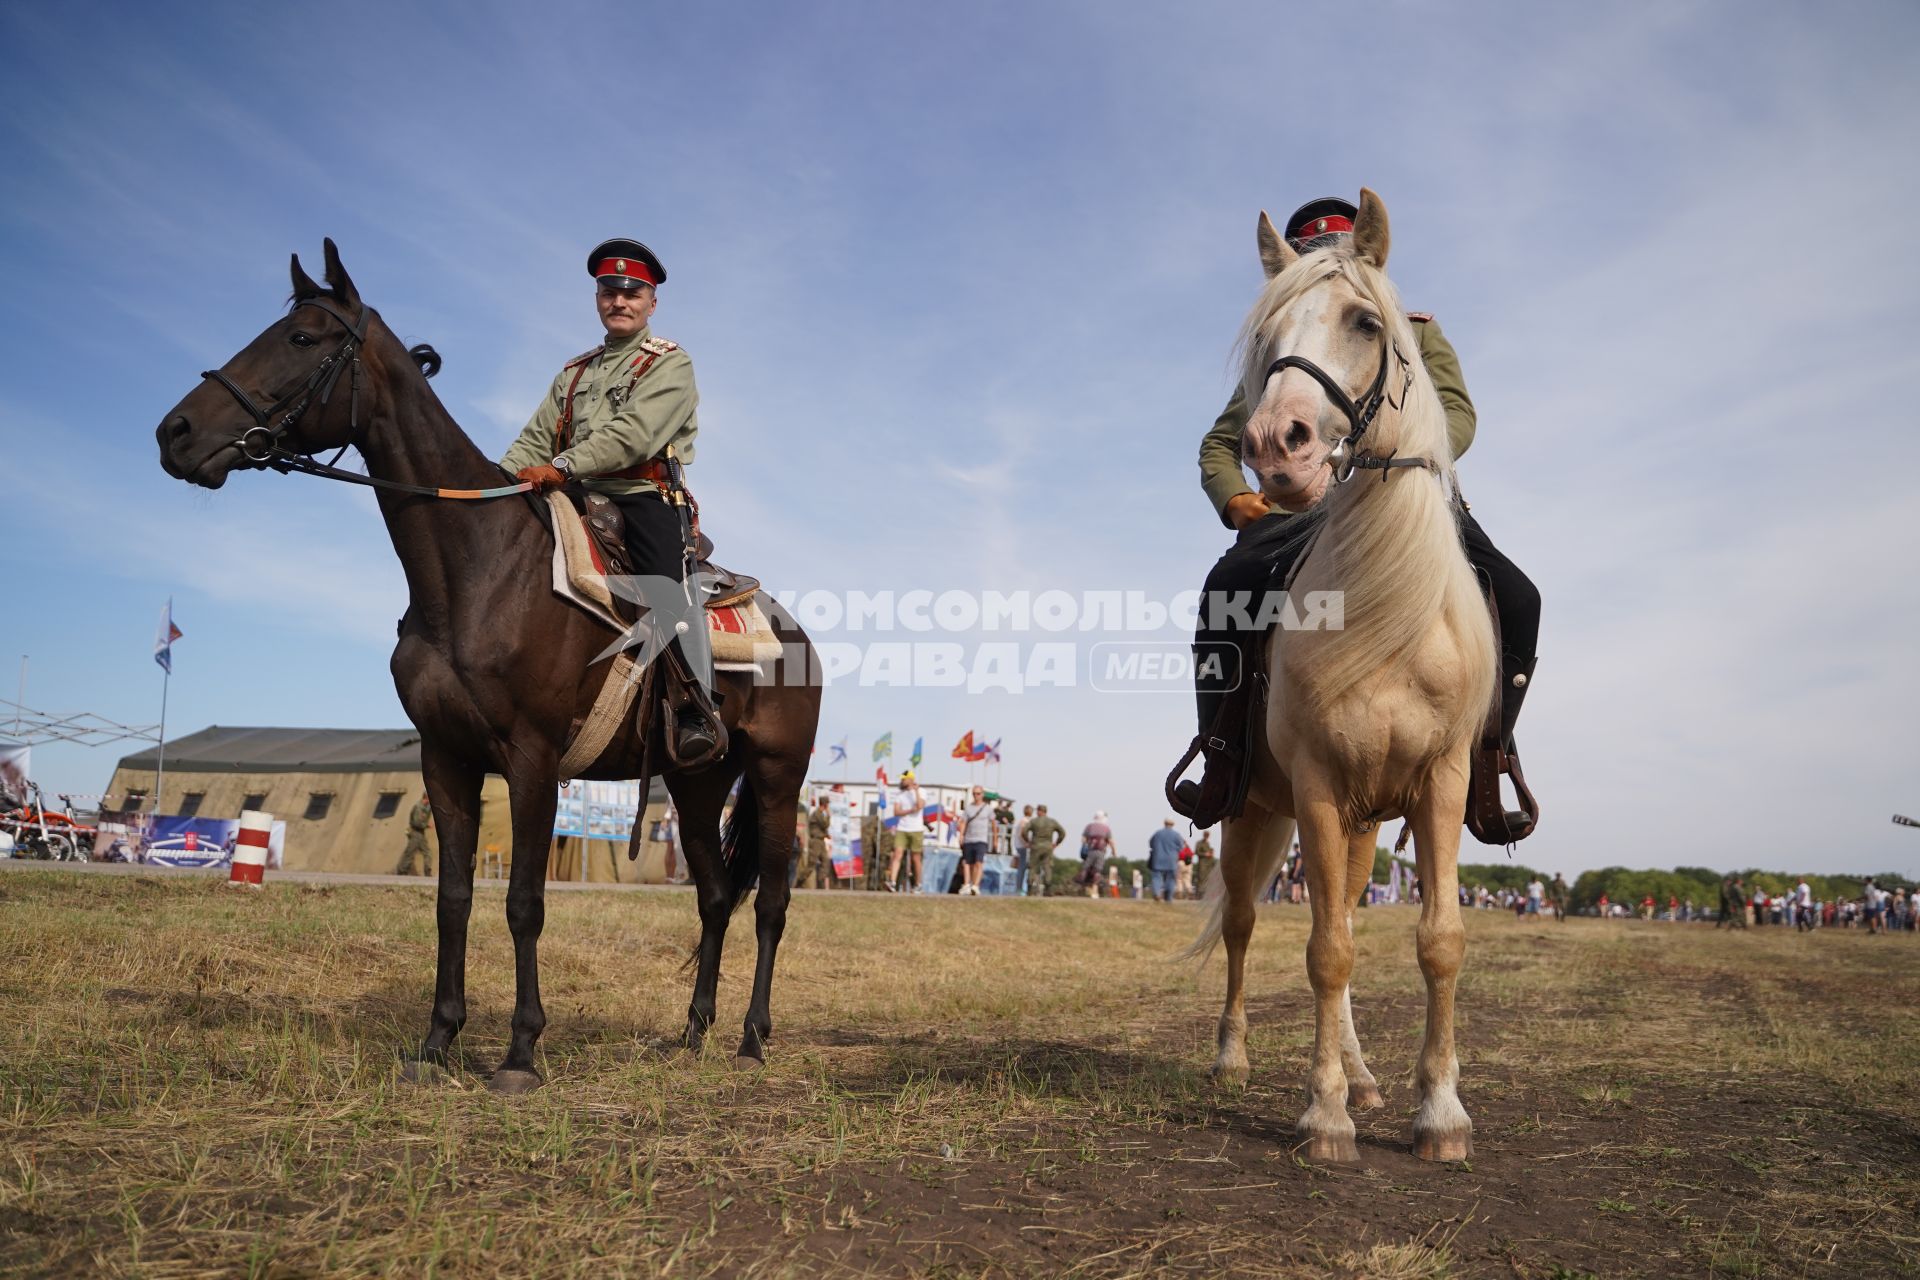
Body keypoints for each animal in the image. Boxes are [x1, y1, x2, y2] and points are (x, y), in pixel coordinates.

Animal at [155, 239, 817, 1090]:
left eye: (301, 338)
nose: (174, 432)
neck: (474, 568)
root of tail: (795, 634)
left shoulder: (532, 760)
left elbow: (524, 904)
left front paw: (520, 1051)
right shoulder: (447, 759)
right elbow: (454, 898)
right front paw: (438, 1040)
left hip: (775, 778)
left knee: (768, 902)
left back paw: (752, 1036)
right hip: (698, 781)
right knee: (711, 896)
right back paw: (693, 1032)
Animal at [1182, 188, 1497, 1159]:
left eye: (1365, 322)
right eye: (1265, 336)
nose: (1274, 445)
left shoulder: (1441, 783)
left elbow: (1436, 941)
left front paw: (1441, 1112)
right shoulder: (1316, 786)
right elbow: (1323, 950)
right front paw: (1322, 1115)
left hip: (1363, 826)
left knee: (1348, 916)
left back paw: (1362, 1076)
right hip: (1251, 812)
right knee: (1245, 927)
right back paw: (1233, 1057)